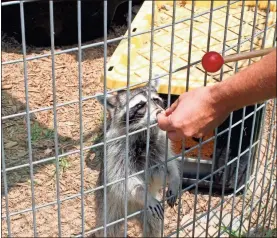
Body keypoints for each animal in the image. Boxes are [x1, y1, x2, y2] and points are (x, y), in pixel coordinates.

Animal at [92, 84, 180, 237]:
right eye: (140, 105)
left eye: (156, 100)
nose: (159, 113)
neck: (143, 132)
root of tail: (131, 215)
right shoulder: (116, 149)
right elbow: (122, 179)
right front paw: (143, 194)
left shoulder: (161, 142)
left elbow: (168, 163)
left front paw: (174, 178)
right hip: (109, 209)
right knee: (108, 231)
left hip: (146, 213)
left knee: (153, 226)